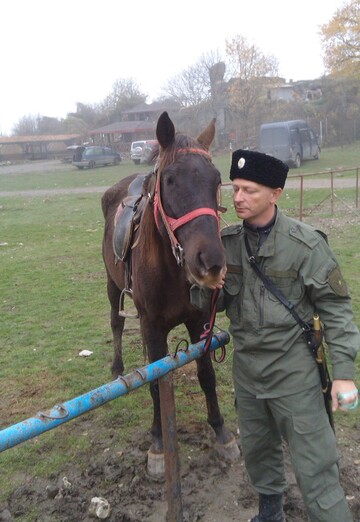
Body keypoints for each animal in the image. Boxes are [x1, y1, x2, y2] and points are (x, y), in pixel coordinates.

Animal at [100, 111, 239, 474]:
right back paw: (117, 367)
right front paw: (159, 444)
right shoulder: (152, 327)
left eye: (216, 179)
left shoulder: (200, 322)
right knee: (116, 323)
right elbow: (154, 384)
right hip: (112, 285)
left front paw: (221, 432)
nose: (212, 262)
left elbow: (206, 375)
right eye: (170, 180)